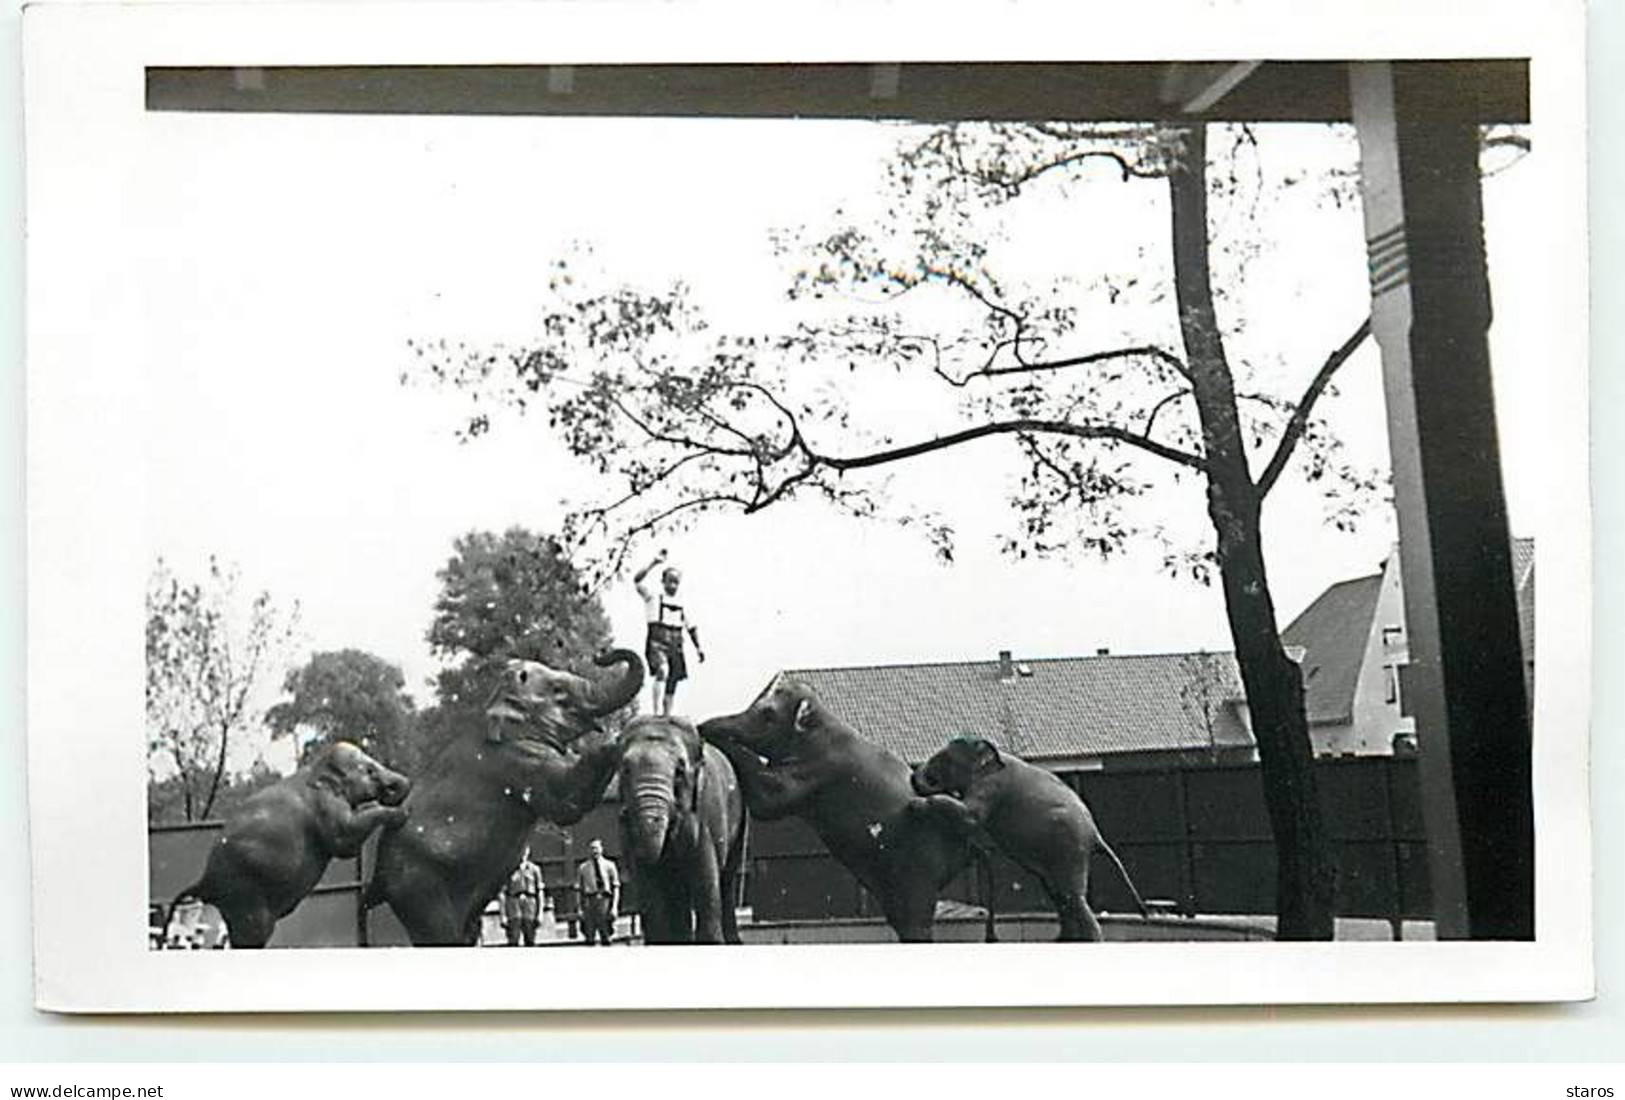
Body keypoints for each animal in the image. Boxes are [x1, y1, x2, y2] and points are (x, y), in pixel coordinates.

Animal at [163, 737, 412, 942]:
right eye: (370, 771)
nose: (403, 784)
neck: (316, 767)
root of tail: (205, 881)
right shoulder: (325, 802)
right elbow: (344, 841)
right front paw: (401, 815)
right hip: (244, 892)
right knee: (253, 934)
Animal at [365, 646, 643, 948]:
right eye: (558, 691)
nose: (601, 654)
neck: (495, 704)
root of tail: (376, 878)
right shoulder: (515, 761)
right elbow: (565, 803)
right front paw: (617, 741)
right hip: (418, 885)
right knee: (442, 934)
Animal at [614, 711, 747, 942]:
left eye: (679, 771)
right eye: (626, 770)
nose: (623, 816)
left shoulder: (703, 813)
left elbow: (705, 877)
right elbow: (651, 889)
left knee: (726, 879)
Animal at [698, 672, 988, 942]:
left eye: (767, 713)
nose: (702, 725)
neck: (822, 719)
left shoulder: (821, 769)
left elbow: (769, 802)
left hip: (921, 868)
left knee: (916, 921)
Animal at [910, 734, 1150, 942]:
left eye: (944, 760)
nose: (914, 778)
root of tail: (1096, 835)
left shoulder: (992, 786)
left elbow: (971, 815)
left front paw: (918, 805)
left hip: (1071, 848)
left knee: (1072, 896)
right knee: (1058, 895)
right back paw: (1061, 940)